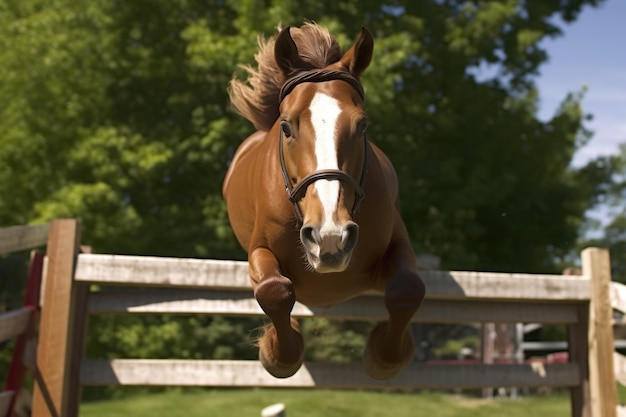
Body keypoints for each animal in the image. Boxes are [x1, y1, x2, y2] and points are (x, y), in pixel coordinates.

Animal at [222, 23, 422, 380]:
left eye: (363, 125)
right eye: (286, 127)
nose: (330, 237)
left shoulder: (396, 243)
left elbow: (407, 289)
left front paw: (384, 357)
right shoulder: (260, 250)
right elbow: (274, 290)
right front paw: (278, 353)